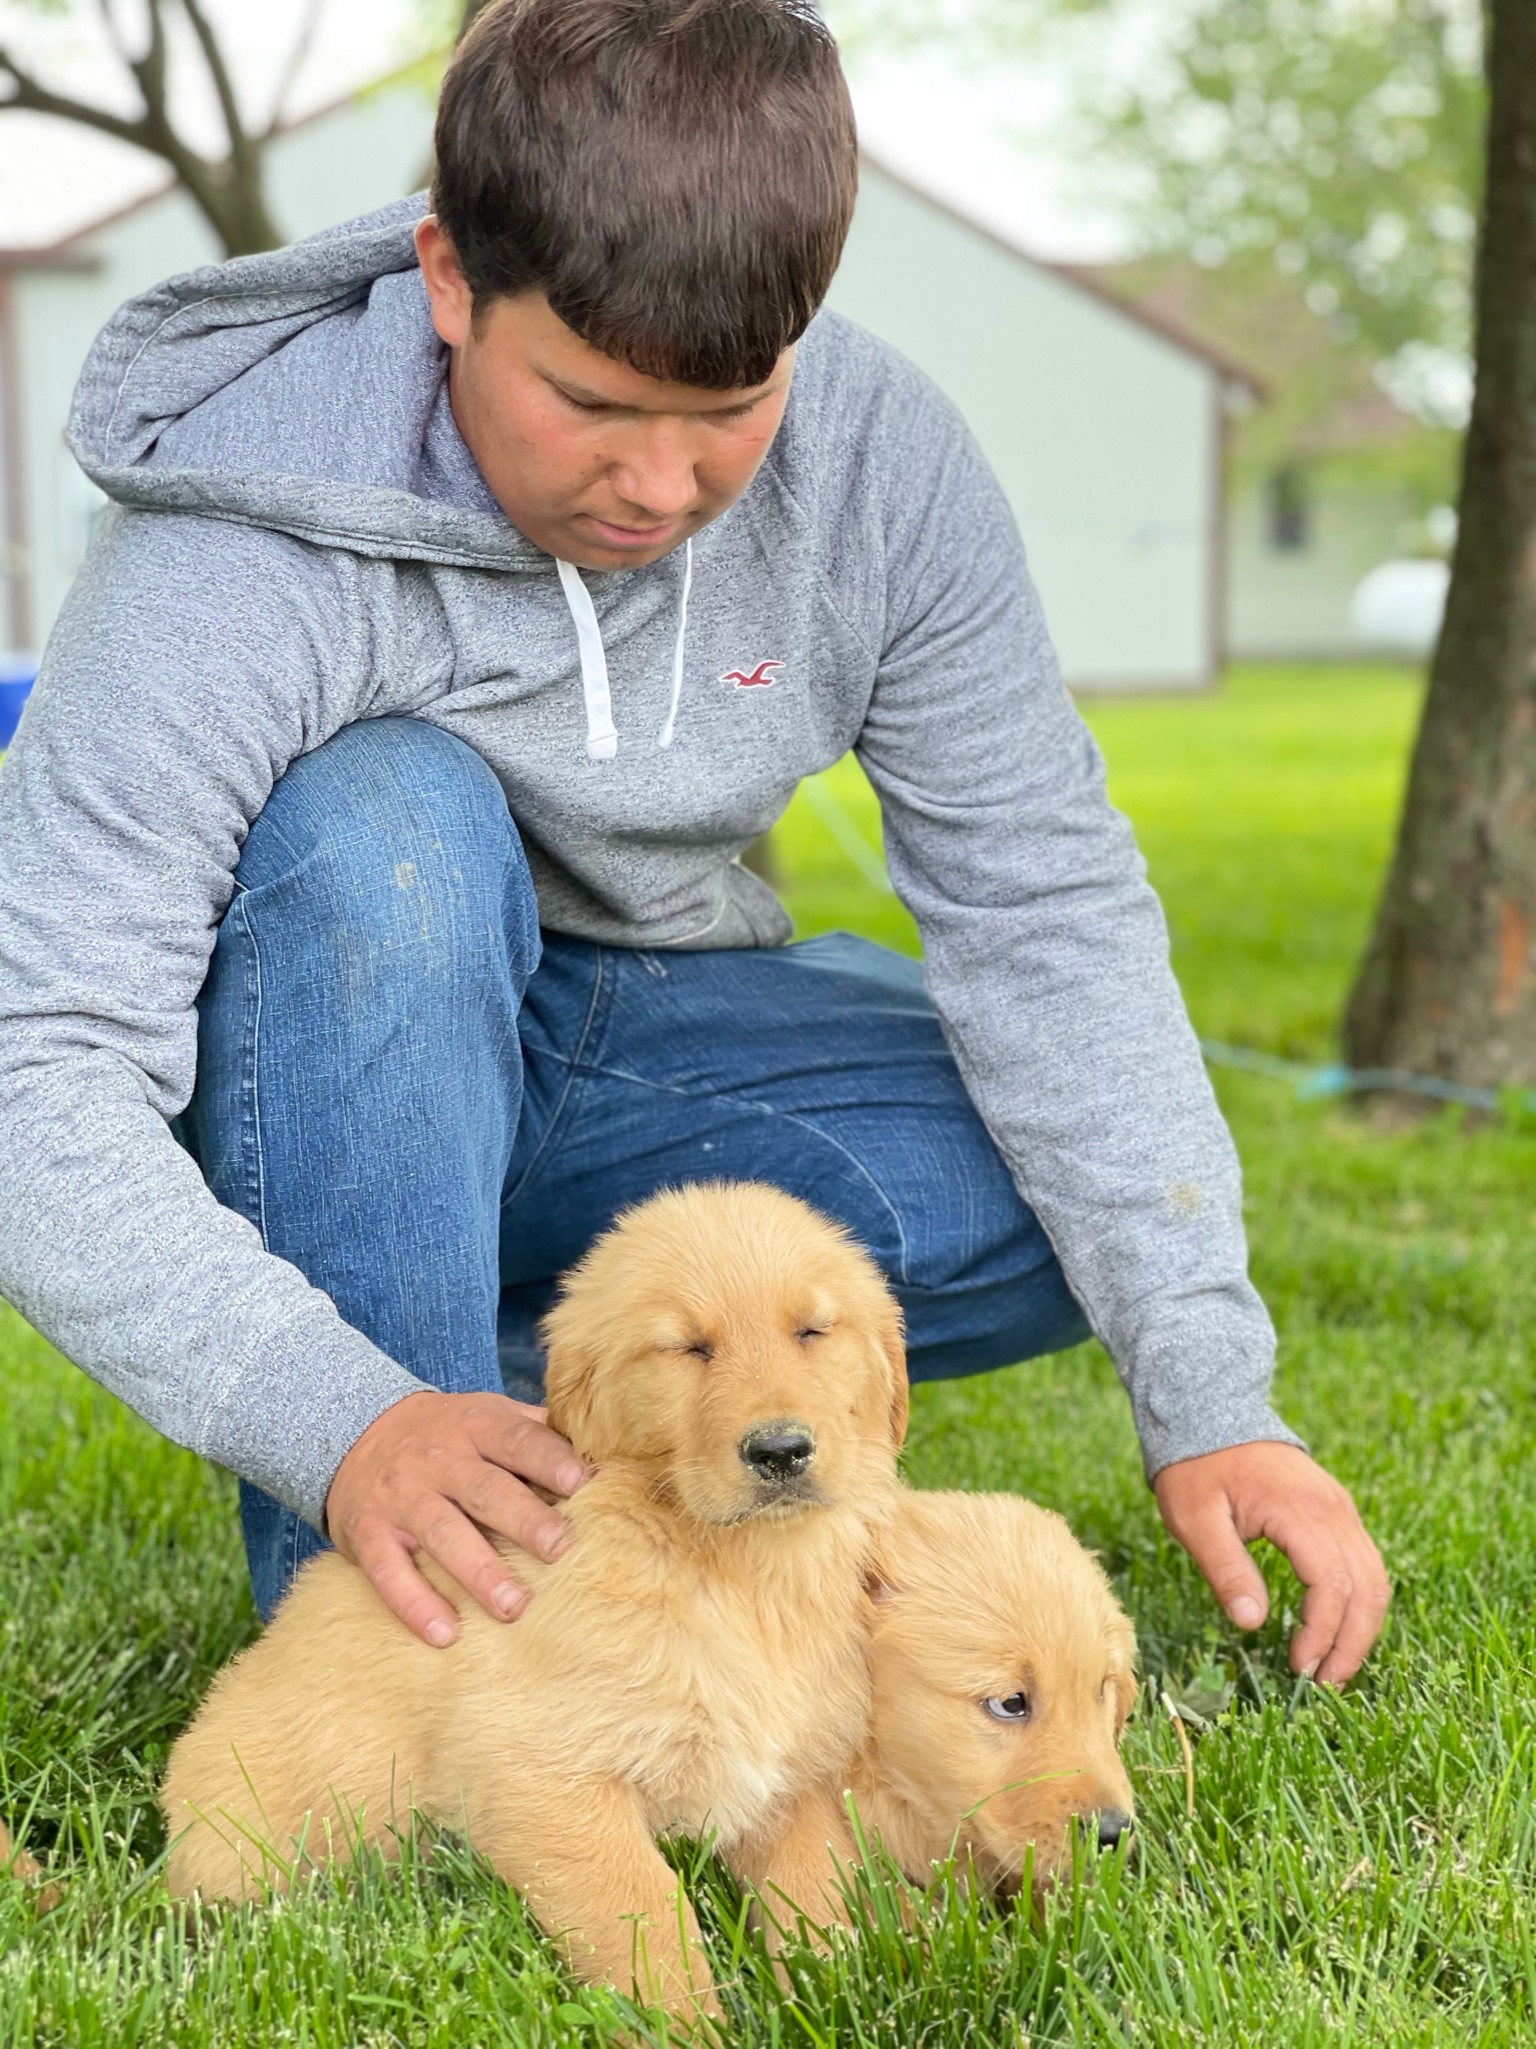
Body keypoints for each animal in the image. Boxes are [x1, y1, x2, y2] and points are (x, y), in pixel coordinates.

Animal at [165, 1180, 913, 2024]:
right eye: (686, 1347)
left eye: (812, 1330)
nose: (781, 1450)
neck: (730, 1568)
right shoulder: (540, 1774)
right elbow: (644, 1910)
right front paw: (683, 2023)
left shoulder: (786, 1776)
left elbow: (817, 1892)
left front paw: (837, 1991)